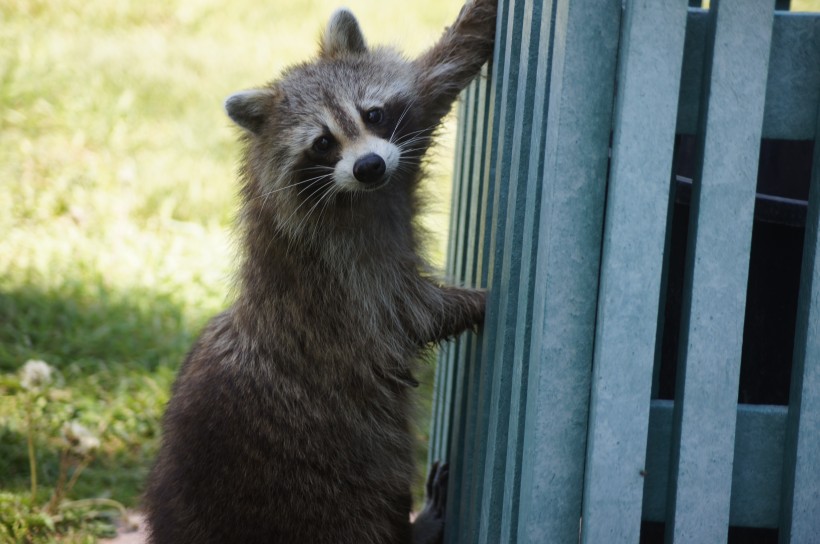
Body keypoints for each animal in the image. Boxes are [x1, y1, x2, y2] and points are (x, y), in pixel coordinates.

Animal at [144, 2, 496, 540]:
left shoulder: (398, 152)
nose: (369, 166)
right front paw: (478, 302)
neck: (368, 195)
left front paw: (476, 26)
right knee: (360, 515)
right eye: (323, 143)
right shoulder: (336, 269)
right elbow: (404, 312)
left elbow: (435, 79)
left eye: (373, 114)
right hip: (320, 480)